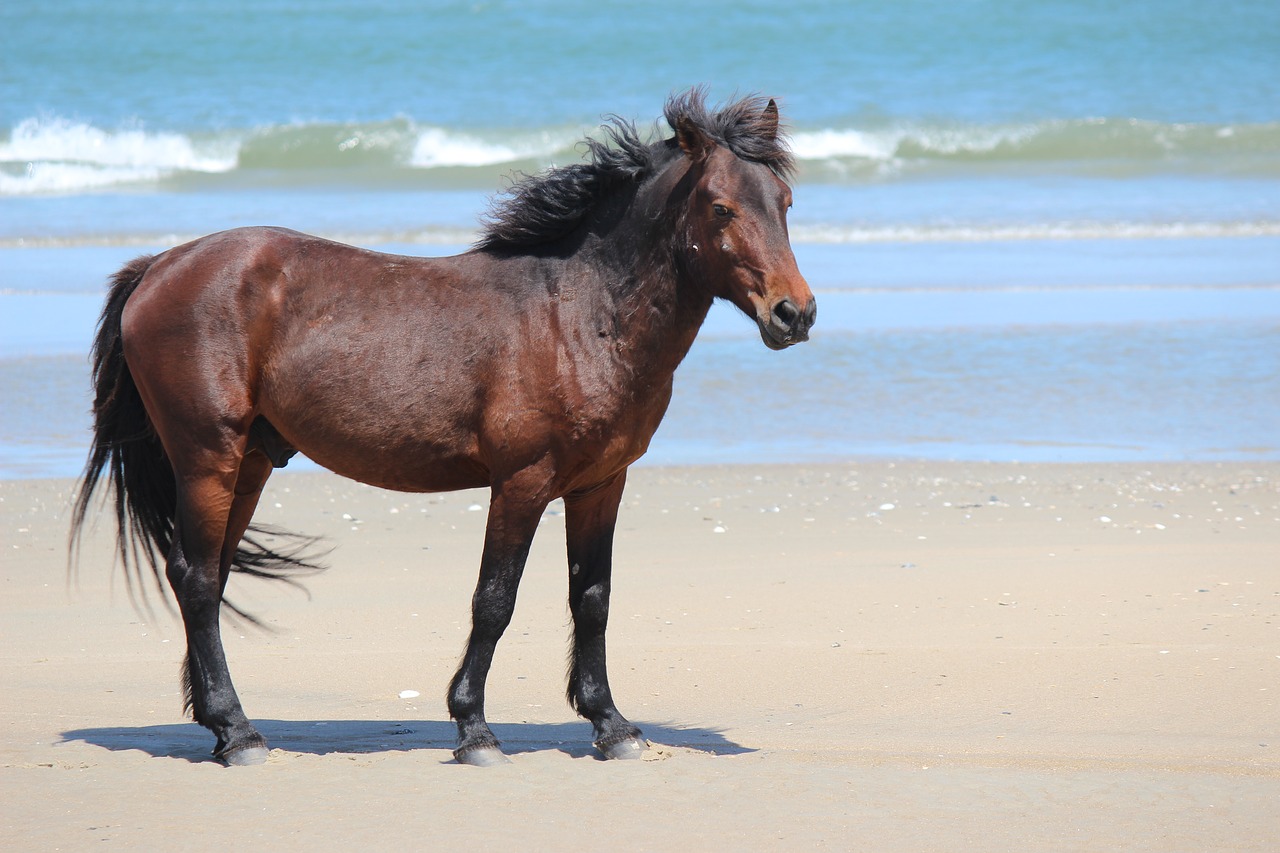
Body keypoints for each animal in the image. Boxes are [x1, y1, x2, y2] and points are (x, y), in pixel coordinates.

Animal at [70, 89, 814, 768]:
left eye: (784, 201)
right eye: (720, 206)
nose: (795, 313)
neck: (576, 312)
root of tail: (158, 267)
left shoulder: (601, 485)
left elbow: (592, 599)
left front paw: (612, 725)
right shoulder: (521, 483)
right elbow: (494, 602)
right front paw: (475, 729)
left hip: (247, 464)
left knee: (212, 576)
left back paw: (217, 722)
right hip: (207, 458)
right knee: (196, 580)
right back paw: (240, 733)